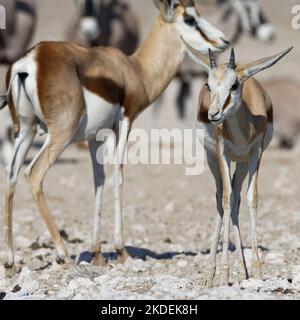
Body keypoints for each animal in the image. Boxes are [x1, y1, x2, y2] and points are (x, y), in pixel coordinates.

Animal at [1, 0, 229, 272]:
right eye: (190, 19)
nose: (223, 41)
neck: (135, 70)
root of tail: (30, 61)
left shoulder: (93, 137)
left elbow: (98, 180)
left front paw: (97, 252)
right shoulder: (125, 122)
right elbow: (118, 176)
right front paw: (121, 250)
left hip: (26, 130)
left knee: (11, 175)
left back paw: (11, 260)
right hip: (59, 134)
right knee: (33, 174)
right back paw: (63, 253)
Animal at [184, 40, 292, 288]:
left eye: (234, 85)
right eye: (208, 84)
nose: (213, 114)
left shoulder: (254, 153)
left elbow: (252, 198)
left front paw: (257, 270)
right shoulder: (223, 153)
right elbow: (225, 199)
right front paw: (223, 273)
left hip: (241, 163)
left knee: (236, 200)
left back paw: (243, 271)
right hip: (213, 160)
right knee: (221, 197)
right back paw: (210, 275)